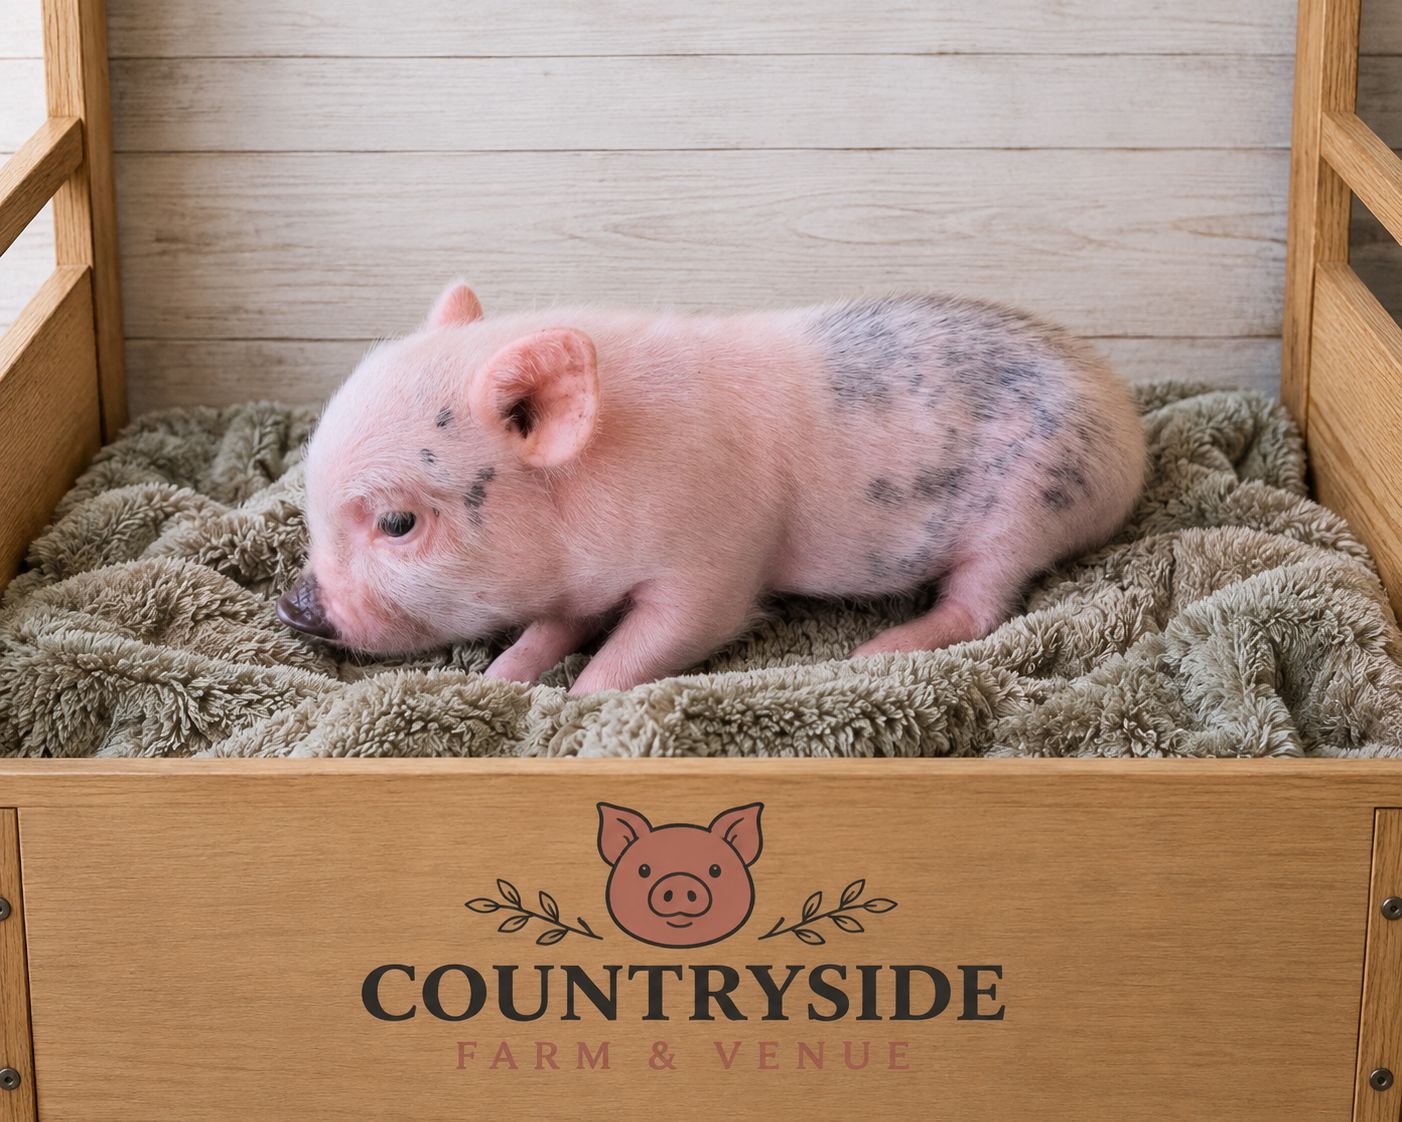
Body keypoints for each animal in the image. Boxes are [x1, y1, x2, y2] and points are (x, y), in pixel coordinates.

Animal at [277, 282, 1146, 693]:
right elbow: (553, 629)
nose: (293, 607)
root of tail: (1126, 425)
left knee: (980, 605)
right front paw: (500, 679)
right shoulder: (579, 582)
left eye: (397, 523)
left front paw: (577, 698)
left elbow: (658, 639)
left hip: (1029, 511)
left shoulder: (714, 561)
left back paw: (877, 648)